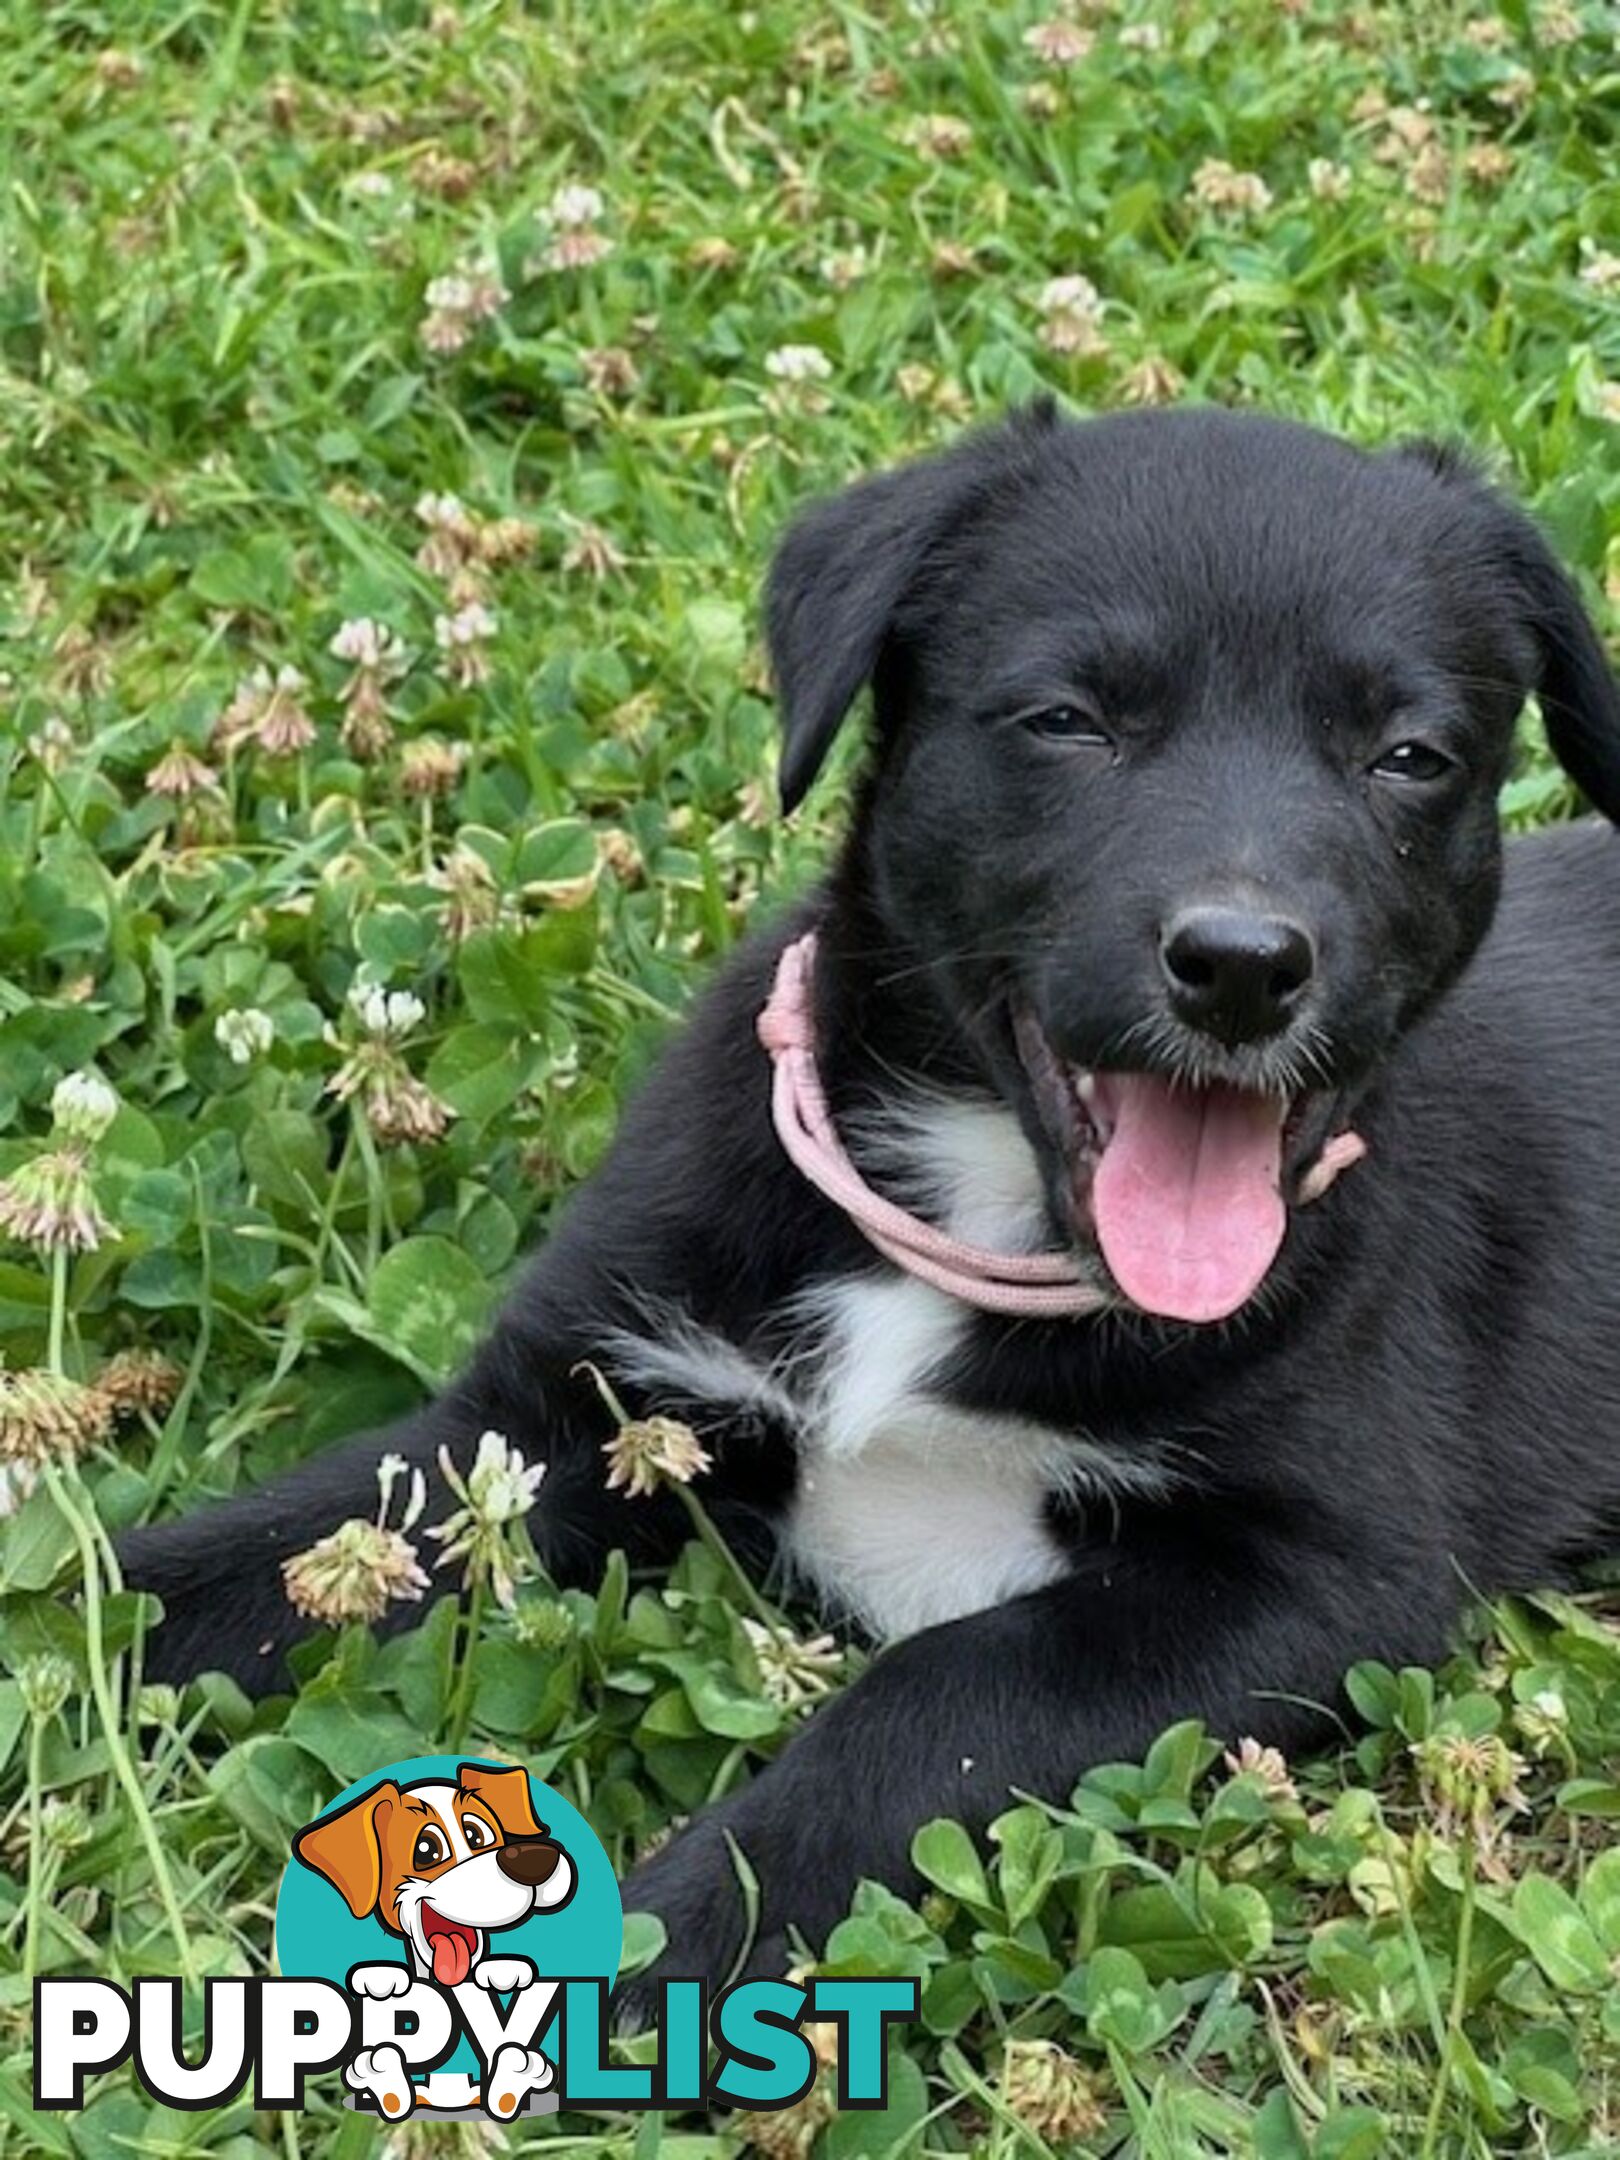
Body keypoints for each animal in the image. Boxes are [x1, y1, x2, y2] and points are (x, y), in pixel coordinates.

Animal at [123, 406, 1620, 1987]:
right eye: (1066, 722)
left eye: (1408, 757)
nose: (1242, 967)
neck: (969, 1218)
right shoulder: (563, 1409)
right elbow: (260, 1553)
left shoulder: (1319, 1576)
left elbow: (932, 1702)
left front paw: (666, 1953)